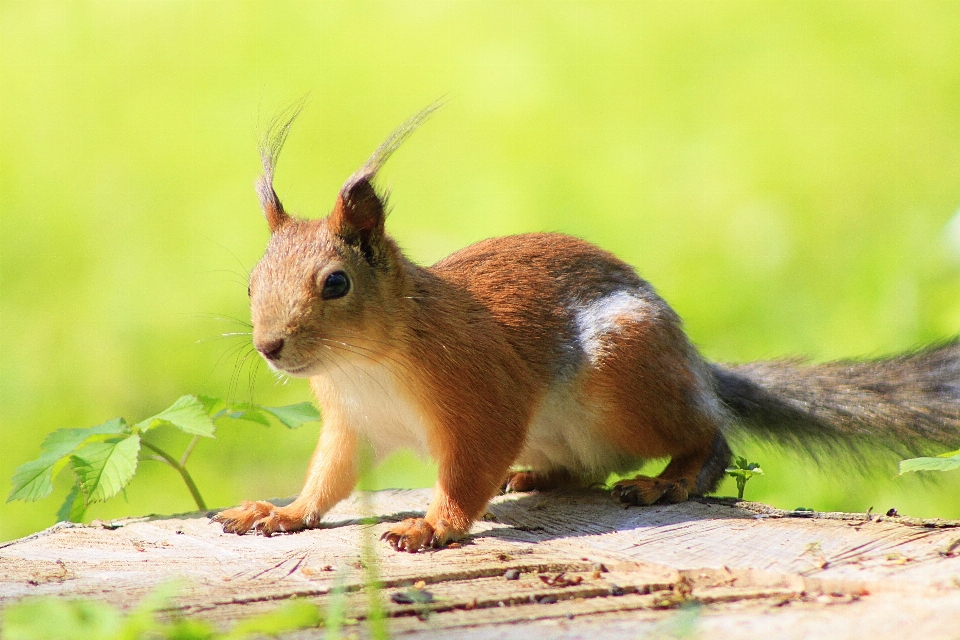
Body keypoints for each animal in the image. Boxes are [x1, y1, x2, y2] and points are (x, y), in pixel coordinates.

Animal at [216, 104, 960, 552]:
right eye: (250, 282)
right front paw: (280, 513)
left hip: (625, 373)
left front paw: (432, 525)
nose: (269, 347)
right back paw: (536, 476)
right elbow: (328, 480)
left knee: (710, 437)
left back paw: (668, 480)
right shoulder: (351, 423)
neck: (365, 363)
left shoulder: (482, 391)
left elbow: (467, 472)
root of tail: (695, 366)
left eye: (336, 283)